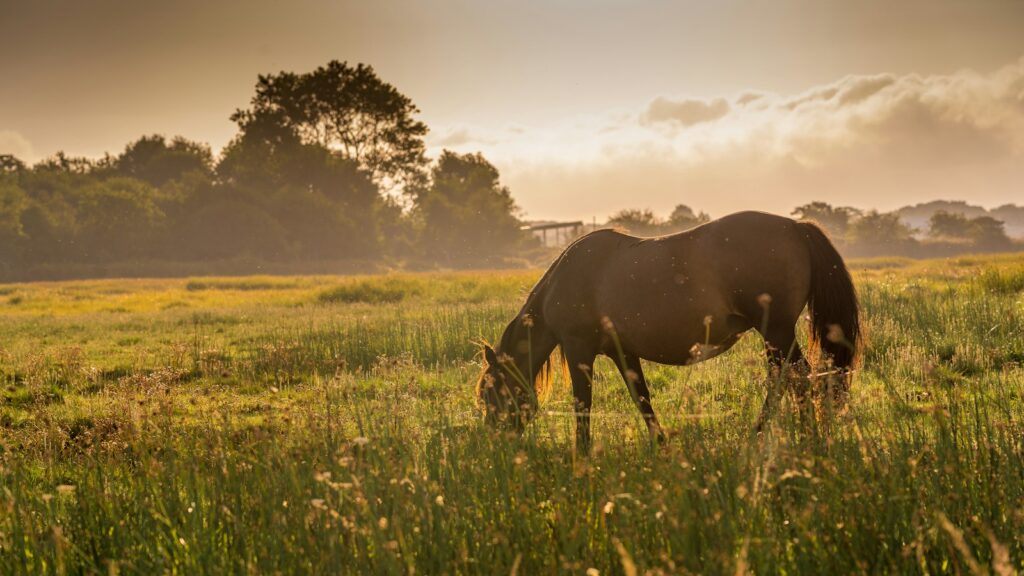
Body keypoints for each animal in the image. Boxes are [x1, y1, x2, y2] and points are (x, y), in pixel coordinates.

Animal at [475, 211, 859, 450]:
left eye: (489, 393)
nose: (495, 443)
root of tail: (796, 227)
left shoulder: (578, 349)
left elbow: (583, 404)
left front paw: (580, 455)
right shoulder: (622, 351)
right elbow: (641, 397)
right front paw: (661, 443)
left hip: (776, 332)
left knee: (797, 378)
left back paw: (795, 436)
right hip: (776, 336)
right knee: (787, 379)